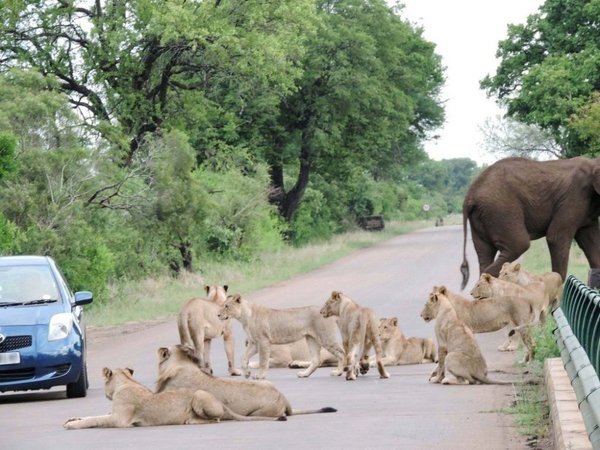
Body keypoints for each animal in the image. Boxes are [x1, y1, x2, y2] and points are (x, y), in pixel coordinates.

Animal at [62, 366, 284, 428]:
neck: (126, 382)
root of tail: (222, 403)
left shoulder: (120, 419)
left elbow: (95, 420)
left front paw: (72, 425)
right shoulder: (114, 412)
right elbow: (94, 416)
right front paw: (72, 418)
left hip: (199, 394)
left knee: (216, 419)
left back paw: (190, 420)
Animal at [462, 156, 600, 290]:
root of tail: (470, 195)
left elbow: (592, 243)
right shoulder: (574, 196)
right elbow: (555, 238)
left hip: (482, 217)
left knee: (485, 252)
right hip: (500, 209)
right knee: (519, 244)